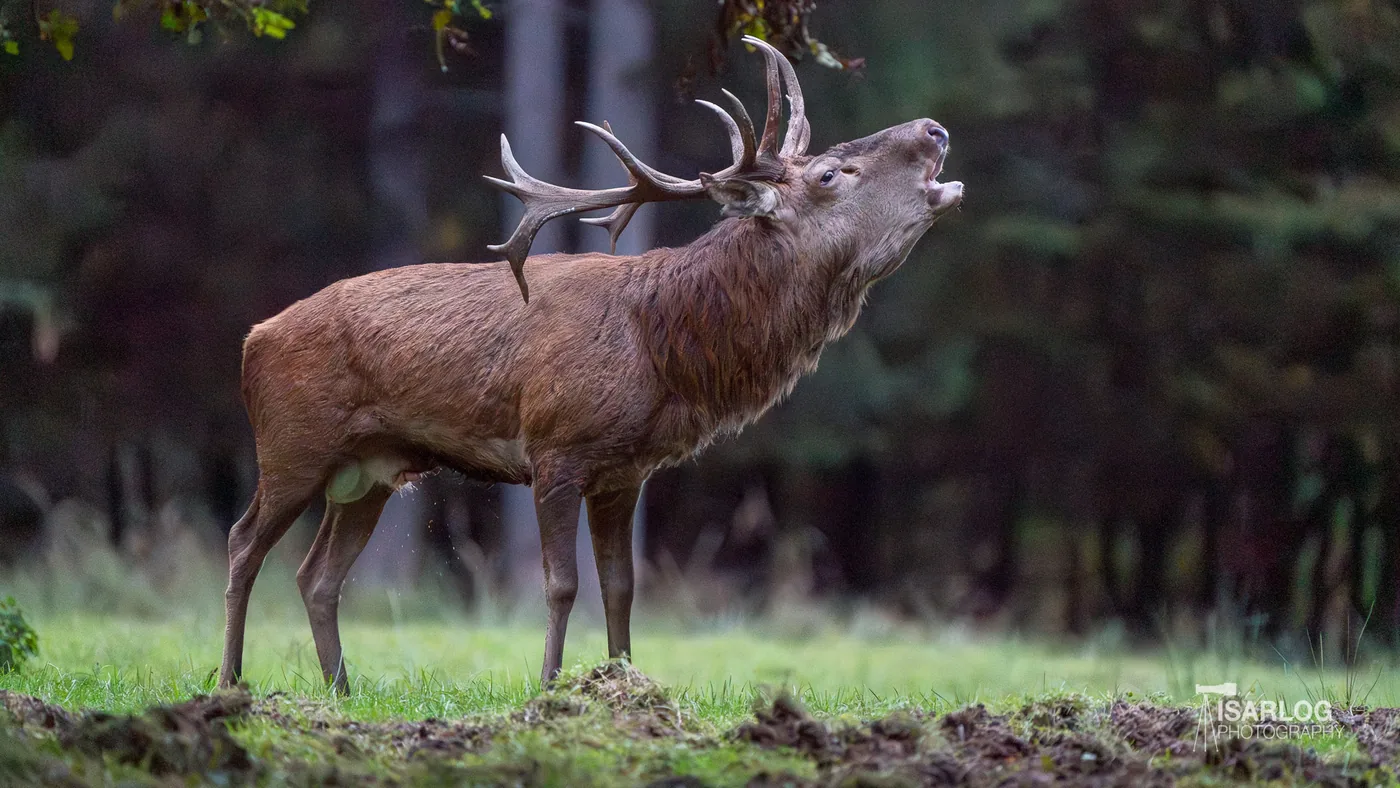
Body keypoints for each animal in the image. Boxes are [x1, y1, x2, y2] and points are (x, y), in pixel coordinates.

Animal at [217, 36, 963, 692]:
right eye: (831, 174)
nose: (933, 129)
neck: (664, 350)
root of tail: (253, 338)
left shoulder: (625, 473)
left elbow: (621, 586)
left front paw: (622, 682)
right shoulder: (556, 448)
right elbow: (561, 584)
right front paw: (549, 690)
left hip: (370, 471)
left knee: (317, 575)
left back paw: (342, 691)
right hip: (292, 444)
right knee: (243, 542)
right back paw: (230, 681)